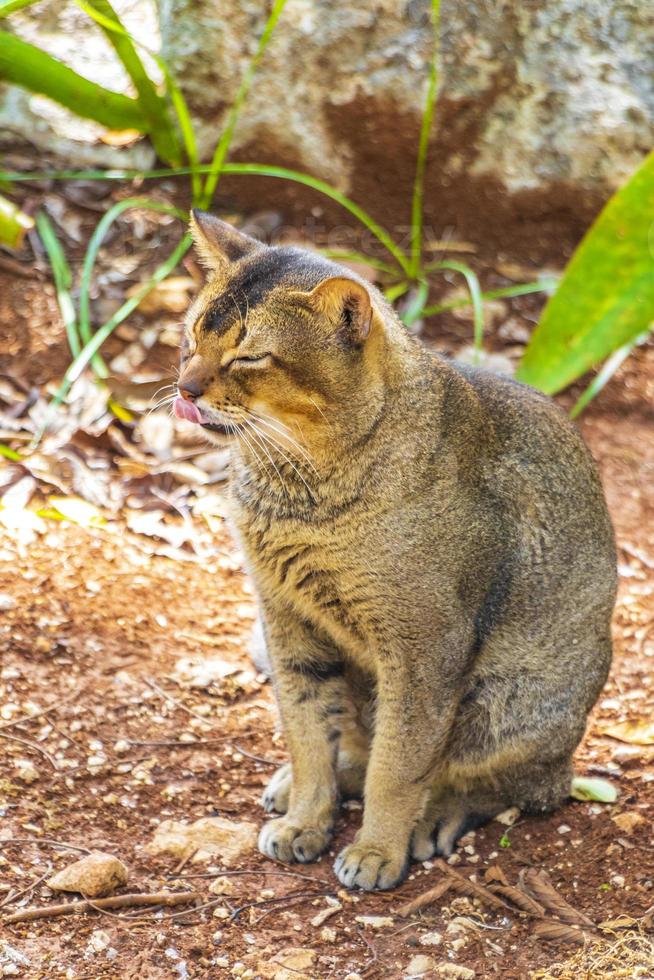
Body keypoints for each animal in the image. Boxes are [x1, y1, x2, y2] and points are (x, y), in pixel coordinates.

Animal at [173, 211, 616, 892]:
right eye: (193, 335)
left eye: (250, 356)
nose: (185, 386)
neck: (299, 495)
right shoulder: (286, 620)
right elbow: (306, 734)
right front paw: (306, 818)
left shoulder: (422, 648)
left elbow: (399, 766)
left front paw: (378, 849)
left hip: (505, 704)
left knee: (519, 786)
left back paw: (434, 818)